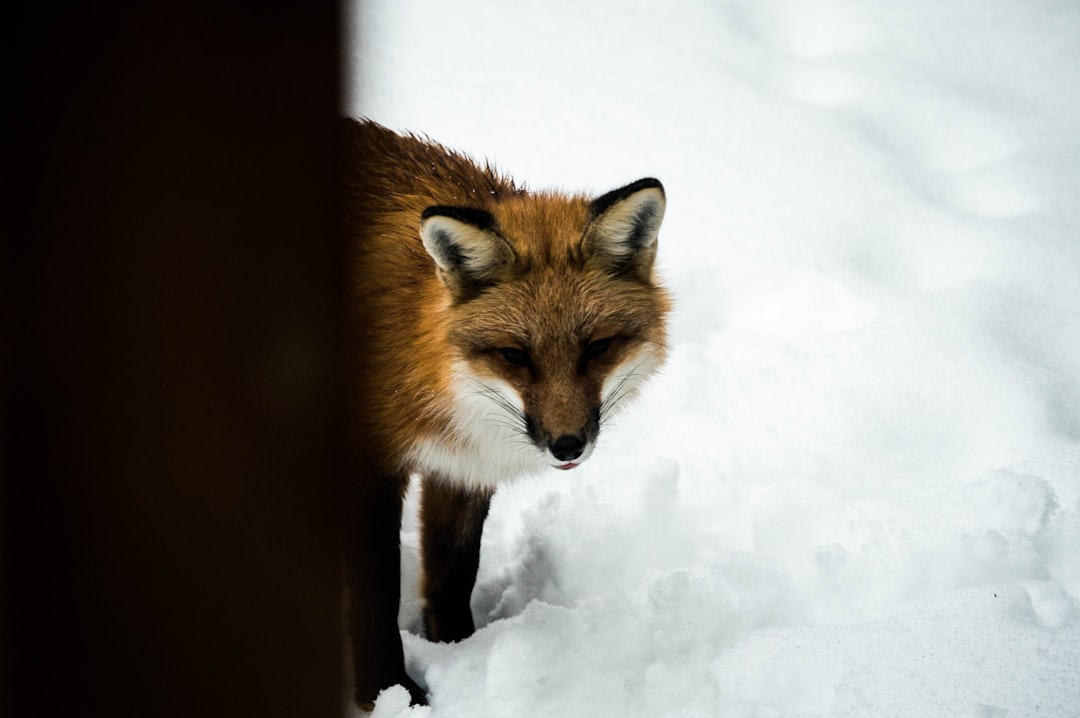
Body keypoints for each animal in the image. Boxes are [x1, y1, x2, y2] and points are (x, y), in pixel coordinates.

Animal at [343, 117, 665, 703]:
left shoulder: (463, 468)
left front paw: (460, 656)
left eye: (597, 348)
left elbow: (452, 575)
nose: (567, 444)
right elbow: (376, 597)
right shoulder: (368, 466)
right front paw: (387, 692)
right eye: (515, 355)